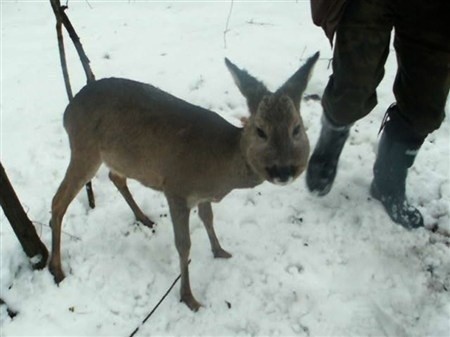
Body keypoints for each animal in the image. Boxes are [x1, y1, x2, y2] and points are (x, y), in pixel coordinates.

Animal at [49, 52, 320, 310]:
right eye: (261, 131)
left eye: (297, 128)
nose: (283, 170)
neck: (221, 167)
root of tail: (67, 110)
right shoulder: (176, 189)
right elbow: (184, 245)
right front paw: (189, 298)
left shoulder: (201, 195)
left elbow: (208, 218)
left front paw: (220, 251)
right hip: (84, 147)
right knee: (58, 200)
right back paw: (57, 270)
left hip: (116, 156)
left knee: (114, 176)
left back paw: (143, 218)